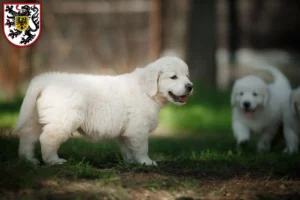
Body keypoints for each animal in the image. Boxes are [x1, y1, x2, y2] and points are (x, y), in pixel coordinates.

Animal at [14, 56, 192, 166]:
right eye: (173, 77)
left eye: (187, 76)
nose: (190, 86)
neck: (146, 91)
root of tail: (47, 79)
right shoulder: (138, 129)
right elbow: (142, 148)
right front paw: (146, 162)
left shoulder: (128, 131)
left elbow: (127, 148)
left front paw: (131, 162)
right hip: (63, 119)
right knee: (47, 139)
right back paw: (54, 161)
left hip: (36, 117)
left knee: (28, 137)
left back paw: (28, 160)